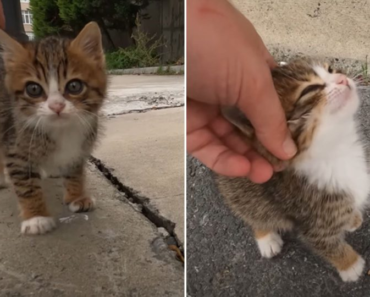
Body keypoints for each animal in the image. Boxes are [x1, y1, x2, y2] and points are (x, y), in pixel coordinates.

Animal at [0, 22, 107, 234]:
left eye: (74, 86)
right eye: (33, 89)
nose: (56, 106)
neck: (62, 130)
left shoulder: (80, 146)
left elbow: (75, 170)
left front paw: (76, 197)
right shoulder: (15, 148)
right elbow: (26, 184)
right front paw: (36, 217)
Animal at [218, 59, 368, 280]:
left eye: (331, 69)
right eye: (310, 89)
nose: (342, 78)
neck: (336, 149)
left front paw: (351, 218)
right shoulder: (311, 217)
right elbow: (325, 243)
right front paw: (350, 265)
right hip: (239, 183)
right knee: (251, 208)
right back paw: (265, 236)